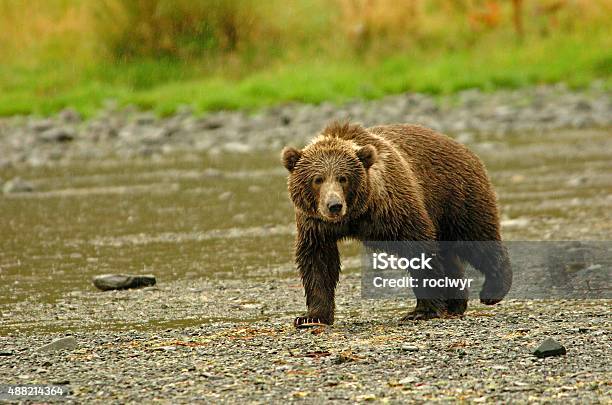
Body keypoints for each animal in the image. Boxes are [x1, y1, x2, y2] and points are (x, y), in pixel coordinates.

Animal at [282, 120, 512, 326]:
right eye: (317, 179)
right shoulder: (315, 225)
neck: (356, 215)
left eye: (343, 178)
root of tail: (464, 148)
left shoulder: (393, 208)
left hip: (455, 197)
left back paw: (493, 290)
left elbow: (419, 248)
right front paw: (311, 317)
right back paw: (455, 304)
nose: (334, 205)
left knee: (476, 238)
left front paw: (422, 310)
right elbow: (317, 261)